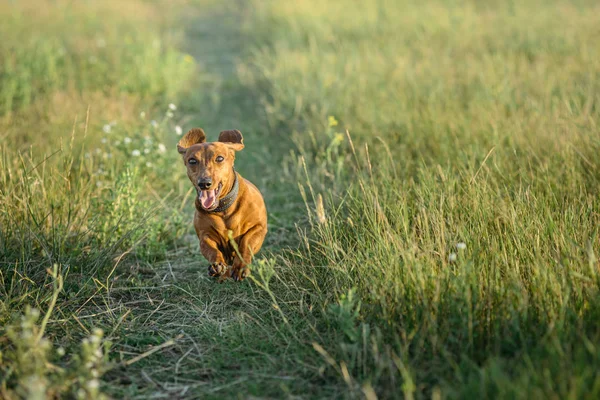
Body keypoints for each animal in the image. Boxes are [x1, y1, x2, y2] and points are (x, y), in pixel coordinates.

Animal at [177, 128, 268, 282]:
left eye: (219, 158)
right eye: (192, 161)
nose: (204, 183)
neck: (223, 209)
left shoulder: (258, 228)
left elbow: (246, 243)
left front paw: (240, 266)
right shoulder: (205, 234)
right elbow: (211, 249)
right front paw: (217, 265)